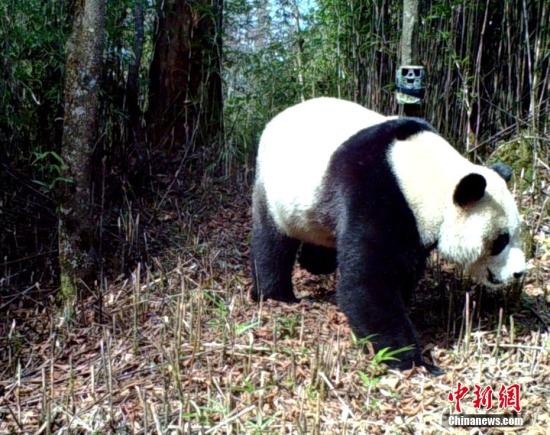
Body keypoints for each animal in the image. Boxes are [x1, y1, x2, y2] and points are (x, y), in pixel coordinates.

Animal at [252, 97, 528, 372]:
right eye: (501, 240)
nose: (519, 272)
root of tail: (276, 119)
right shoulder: (374, 189)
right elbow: (369, 281)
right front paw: (411, 359)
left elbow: (404, 269)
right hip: (276, 190)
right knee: (272, 243)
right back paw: (275, 294)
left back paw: (314, 262)